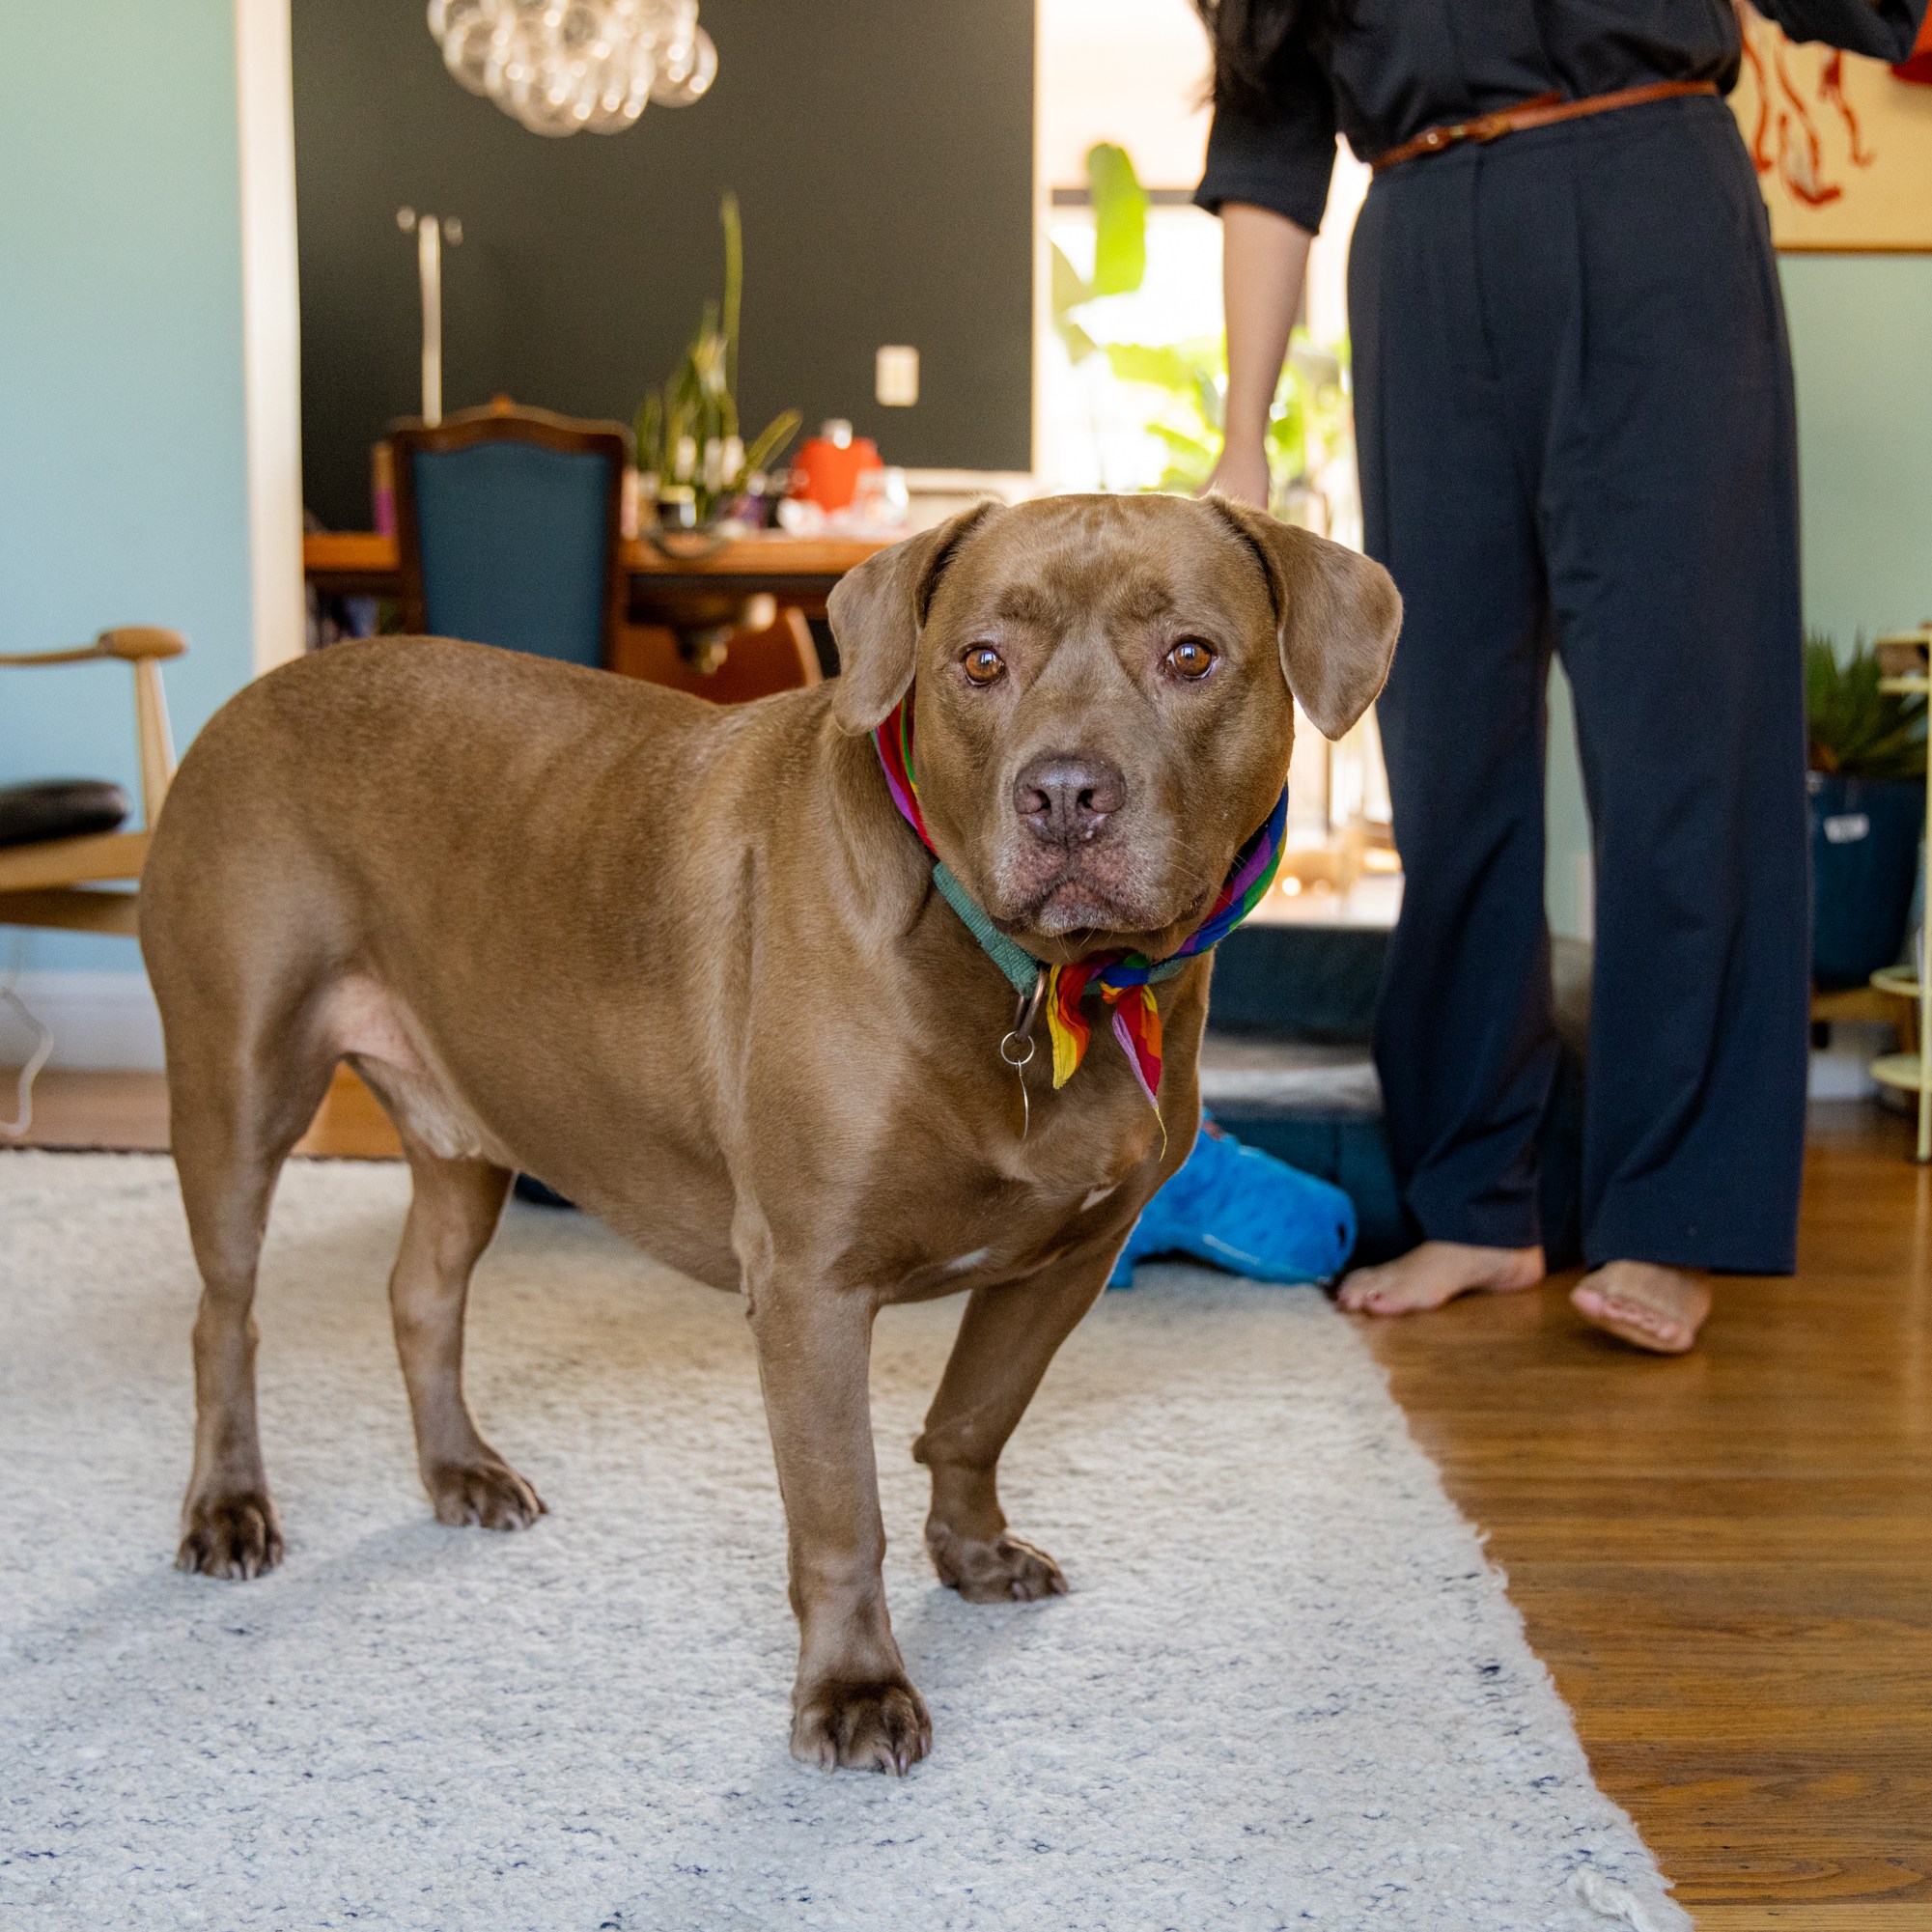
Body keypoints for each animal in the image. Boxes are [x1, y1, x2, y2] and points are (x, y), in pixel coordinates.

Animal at [140, 490, 1406, 1769]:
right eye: (980, 663)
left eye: (1191, 656)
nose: (1061, 795)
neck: (1038, 982)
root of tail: (254, 695)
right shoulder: (811, 1288)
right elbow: (842, 1509)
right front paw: (854, 1687)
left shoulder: (1068, 1259)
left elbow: (973, 1419)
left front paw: (971, 1552)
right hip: (238, 1095)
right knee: (221, 1319)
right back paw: (229, 1508)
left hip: (469, 1132)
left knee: (422, 1297)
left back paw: (459, 1472)